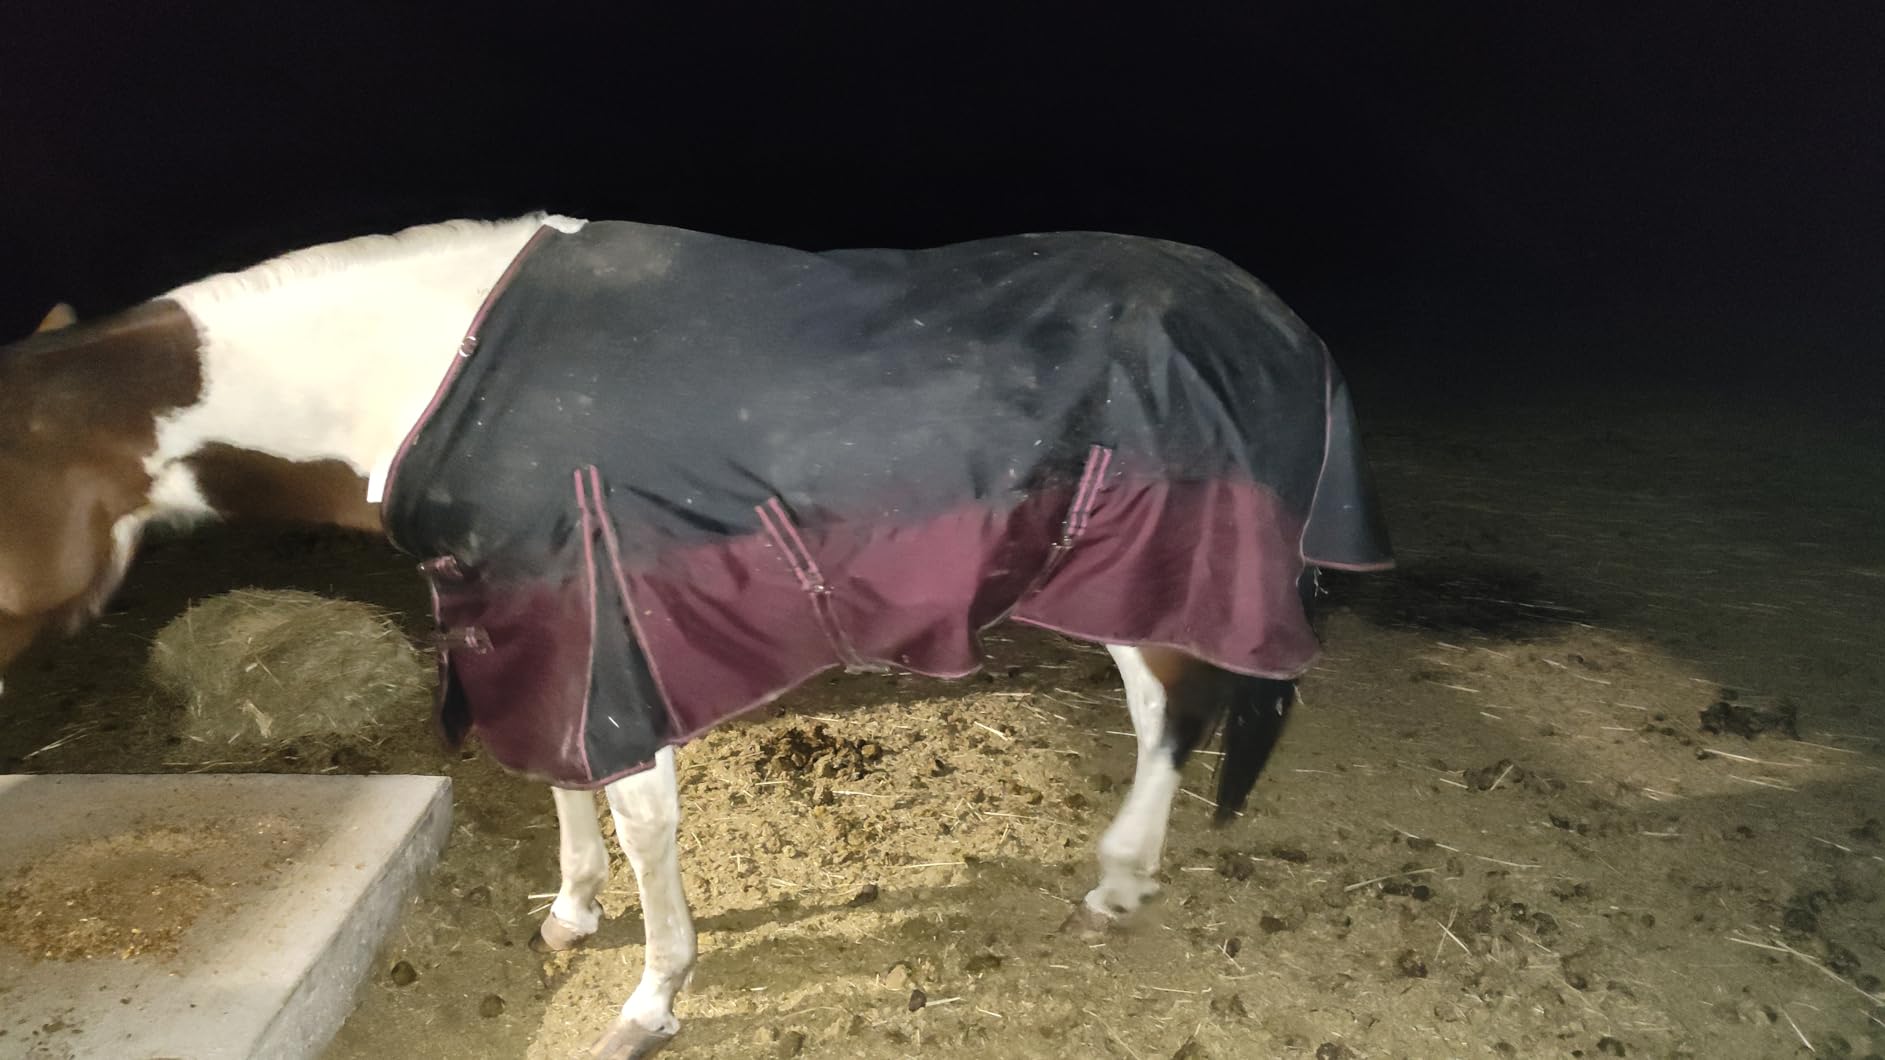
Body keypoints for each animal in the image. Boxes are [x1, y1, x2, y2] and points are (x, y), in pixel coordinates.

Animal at [0, 213, 1391, 1058]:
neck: (417, 371)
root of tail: (1280, 322)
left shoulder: (605, 621)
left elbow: (638, 814)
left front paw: (650, 998)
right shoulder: (531, 614)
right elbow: (560, 780)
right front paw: (571, 917)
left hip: (1149, 571)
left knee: (1172, 714)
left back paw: (1115, 878)